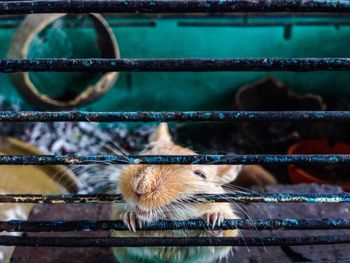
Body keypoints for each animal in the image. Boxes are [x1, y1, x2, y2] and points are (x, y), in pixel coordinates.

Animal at [112, 124, 276, 263]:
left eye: (200, 174)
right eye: (148, 149)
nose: (141, 186)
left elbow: (224, 234)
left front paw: (215, 218)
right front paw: (130, 217)